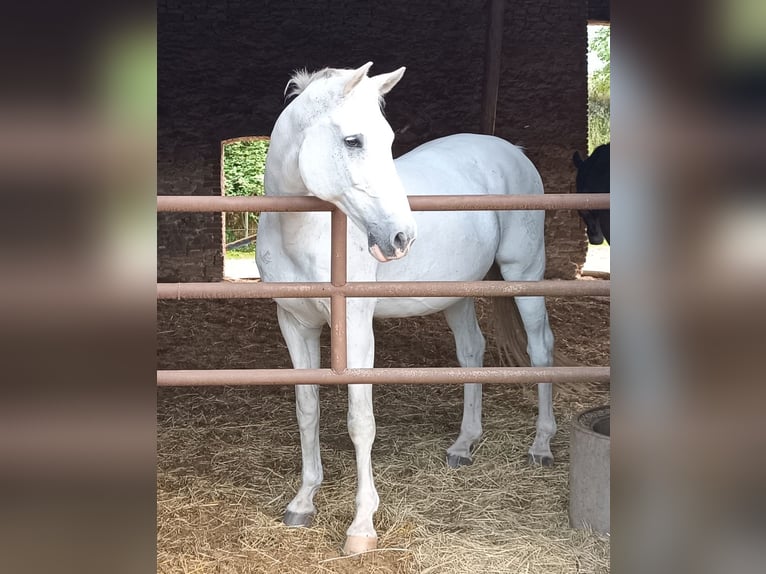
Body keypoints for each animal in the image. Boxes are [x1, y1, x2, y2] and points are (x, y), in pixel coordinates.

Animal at [255, 63, 556, 560]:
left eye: (390, 138)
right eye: (353, 140)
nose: (401, 237)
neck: (304, 231)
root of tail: (511, 151)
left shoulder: (357, 328)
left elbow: (360, 422)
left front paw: (362, 527)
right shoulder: (294, 325)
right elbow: (307, 410)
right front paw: (303, 502)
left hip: (525, 273)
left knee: (541, 351)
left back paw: (542, 445)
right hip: (456, 294)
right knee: (471, 353)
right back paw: (464, 445)